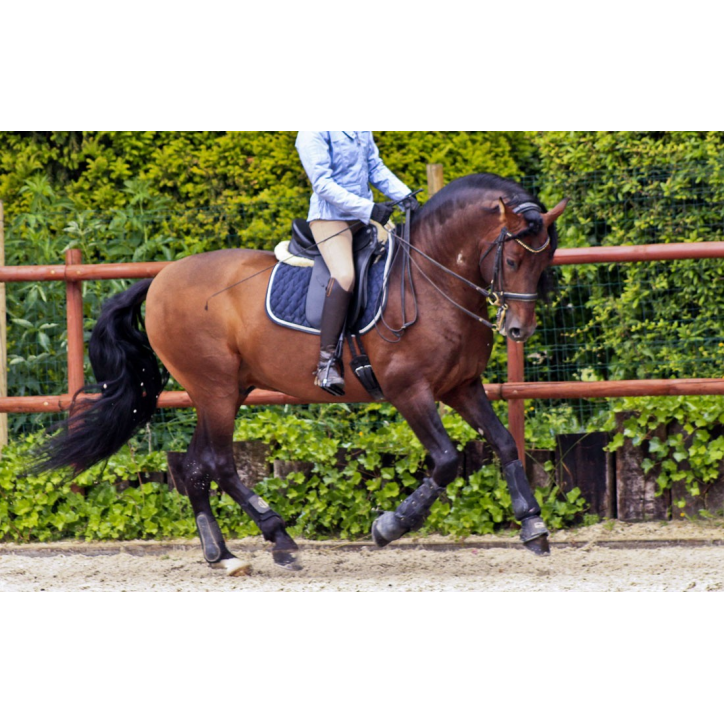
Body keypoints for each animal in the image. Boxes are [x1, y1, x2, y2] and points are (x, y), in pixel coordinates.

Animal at [34, 173, 567, 576]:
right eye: (513, 258)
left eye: (546, 259)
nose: (518, 329)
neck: (430, 278)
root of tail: (161, 277)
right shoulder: (408, 391)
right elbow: (447, 461)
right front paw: (389, 526)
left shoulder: (461, 387)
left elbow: (504, 443)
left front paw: (533, 526)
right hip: (215, 389)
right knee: (219, 464)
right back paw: (279, 539)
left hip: (225, 391)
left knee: (195, 467)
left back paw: (223, 554)